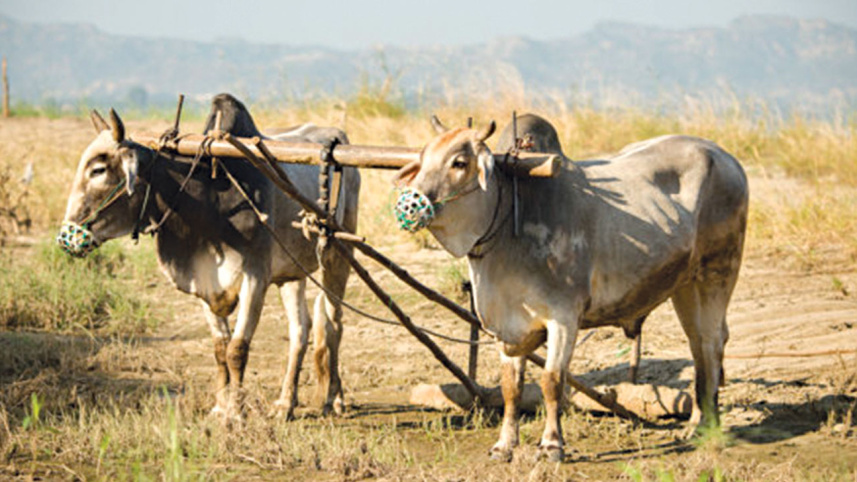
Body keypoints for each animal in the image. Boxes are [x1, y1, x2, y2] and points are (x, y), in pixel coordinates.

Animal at [58, 93, 361, 422]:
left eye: (98, 170)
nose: (66, 236)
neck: (207, 201)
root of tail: (338, 136)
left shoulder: (255, 277)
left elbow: (237, 349)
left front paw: (237, 413)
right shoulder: (204, 282)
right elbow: (220, 348)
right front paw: (220, 406)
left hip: (338, 255)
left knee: (333, 323)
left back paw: (334, 398)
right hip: (291, 274)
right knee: (300, 330)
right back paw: (285, 403)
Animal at [394, 114, 748, 462]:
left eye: (459, 162)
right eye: (423, 157)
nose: (409, 202)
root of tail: (726, 158)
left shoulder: (563, 318)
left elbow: (552, 382)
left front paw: (552, 445)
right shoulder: (504, 326)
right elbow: (511, 387)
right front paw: (504, 444)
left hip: (718, 272)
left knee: (711, 343)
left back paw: (706, 427)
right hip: (685, 285)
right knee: (698, 345)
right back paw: (699, 422)